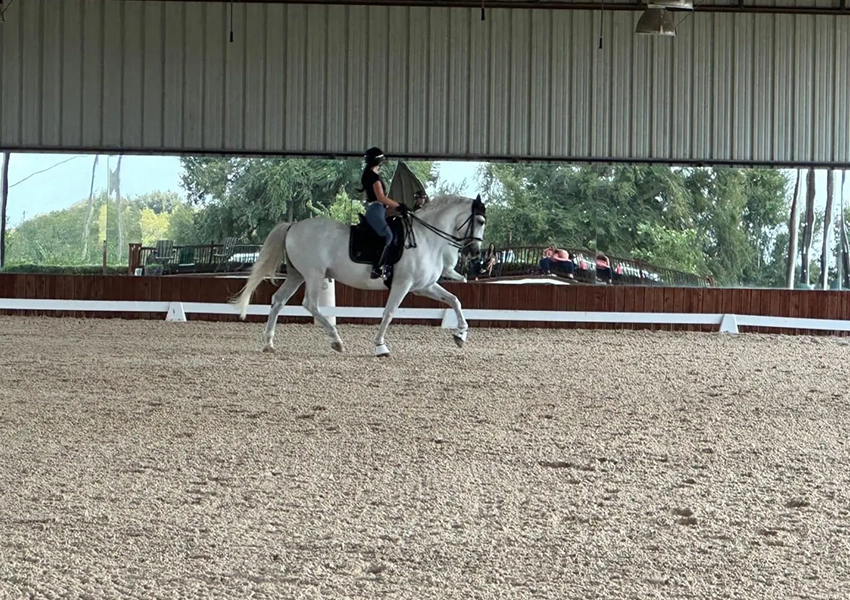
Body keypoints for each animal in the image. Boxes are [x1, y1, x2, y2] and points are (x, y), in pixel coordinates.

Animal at [229, 193, 486, 356]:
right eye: (481, 220)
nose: (474, 252)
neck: (426, 238)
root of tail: (294, 226)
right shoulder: (403, 285)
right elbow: (389, 313)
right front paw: (380, 347)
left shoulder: (423, 286)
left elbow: (455, 300)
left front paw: (460, 336)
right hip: (313, 274)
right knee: (310, 304)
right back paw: (336, 341)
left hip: (297, 275)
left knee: (278, 301)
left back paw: (269, 344)